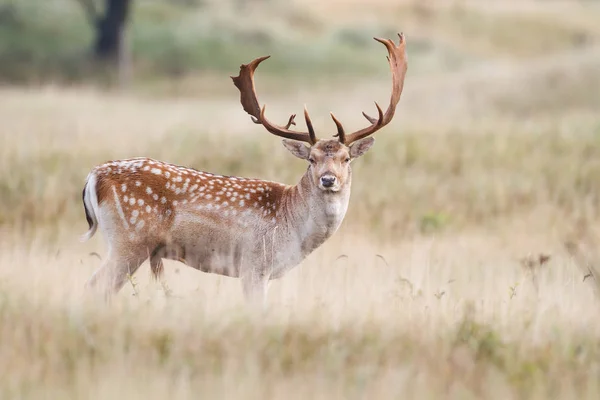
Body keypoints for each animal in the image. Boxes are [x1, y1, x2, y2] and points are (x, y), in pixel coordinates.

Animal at [81, 34, 408, 304]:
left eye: (346, 158)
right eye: (311, 159)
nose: (328, 180)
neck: (292, 227)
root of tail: (93, 177)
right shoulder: (254, 264)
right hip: (131, 239)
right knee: (96, 286)